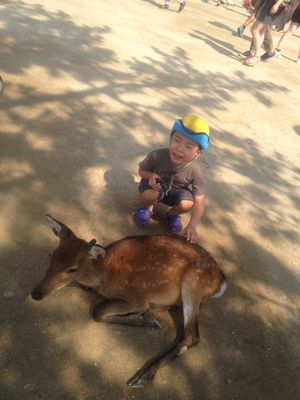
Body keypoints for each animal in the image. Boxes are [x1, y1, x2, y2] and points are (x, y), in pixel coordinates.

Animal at [31, 216, 227, 388]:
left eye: (73, 268)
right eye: (52, 255)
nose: (36, 294)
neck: (102, 275)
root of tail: (221, 282)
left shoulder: (136, 297)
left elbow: (98, 311)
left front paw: (147, 320)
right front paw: (144, 318)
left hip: (193, 282)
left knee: (191, 335)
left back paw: (143, 377)